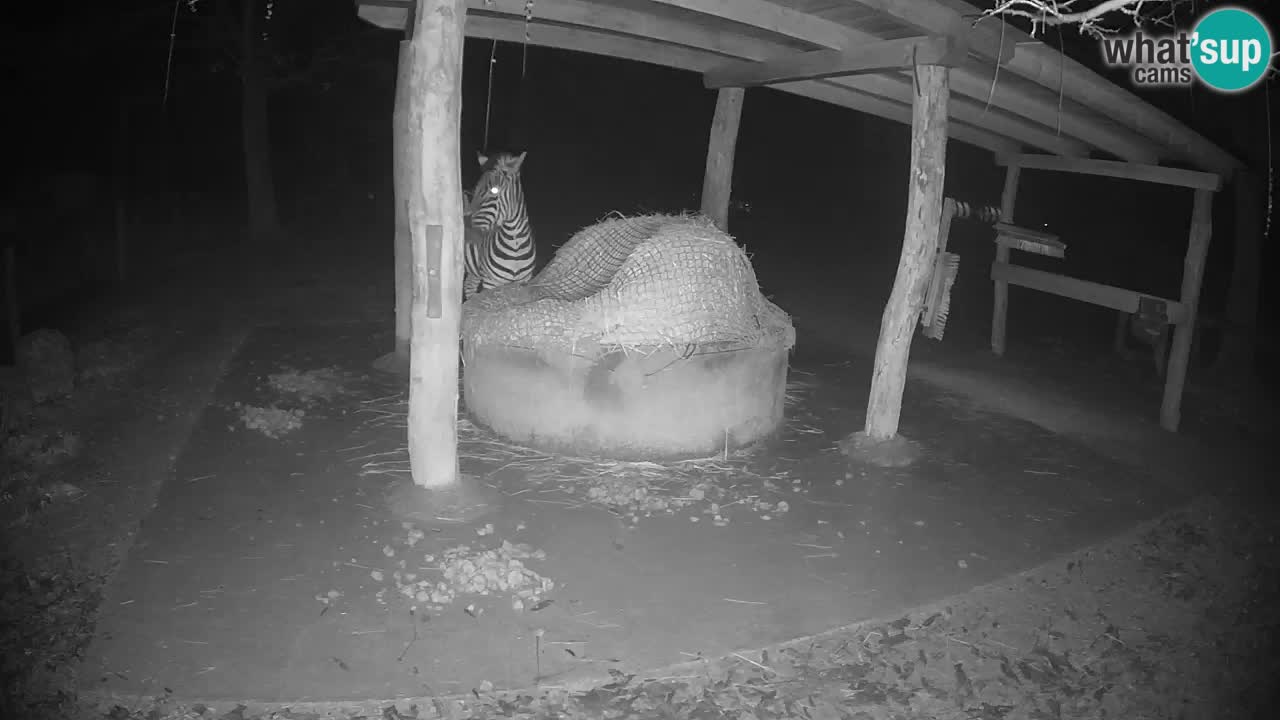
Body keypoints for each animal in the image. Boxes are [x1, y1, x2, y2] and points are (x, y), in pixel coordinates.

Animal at [463, 151, 535, 300]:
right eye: (476, 189)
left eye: (494, 190)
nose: (465, 230)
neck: (515, 245)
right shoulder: (491, 283)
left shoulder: (524, 282)